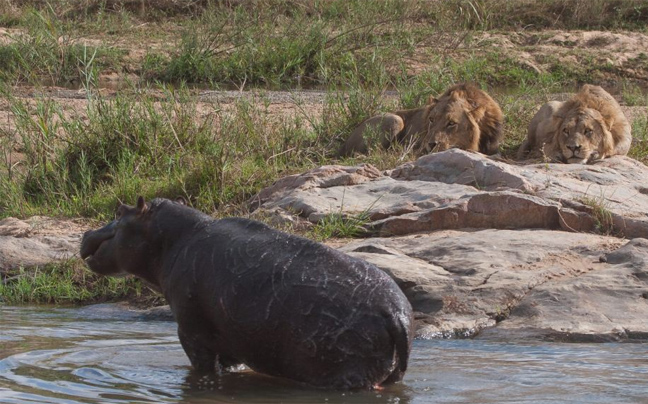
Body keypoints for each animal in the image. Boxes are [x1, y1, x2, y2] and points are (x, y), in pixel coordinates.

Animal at [80, 197, 414, 390]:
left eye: (120, 211)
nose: (86, 233)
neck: (173, 239)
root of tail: (395, 314)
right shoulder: (232, 342)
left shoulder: (190, 334)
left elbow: (202, 369)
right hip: (387, 372)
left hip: (349, 375)